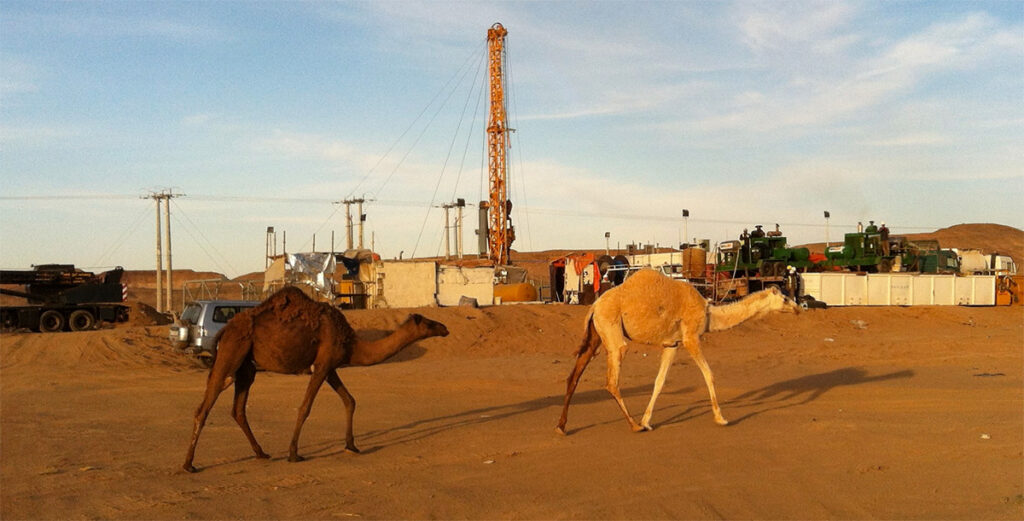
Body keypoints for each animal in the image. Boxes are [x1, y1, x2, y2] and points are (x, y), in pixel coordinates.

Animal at [184, 284, 448, 470]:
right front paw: (294, 454)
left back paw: (261, 453)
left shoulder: (329, 367)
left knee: (238, 409)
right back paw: (189, 465)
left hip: (246, 367)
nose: (445, 328)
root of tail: (225, 329)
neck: (351, 343)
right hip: (231, 353)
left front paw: (352, 445)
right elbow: (305, 407)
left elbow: (350, 400)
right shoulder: (322, 366)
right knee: (204, 406)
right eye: (428, 322)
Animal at [561, 270, 798, 431]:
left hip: (596, 334)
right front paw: (721, 418)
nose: (798, 308)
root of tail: (594, 306)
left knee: (575, 375)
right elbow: (709, 374)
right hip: (611, 327)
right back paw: (633, 425)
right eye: (785, 298)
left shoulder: (672, 344)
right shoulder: (691, 337)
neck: (709, 314)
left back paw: (561, 426)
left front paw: (647, 421)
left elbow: (659, 381)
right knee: (612, 378)